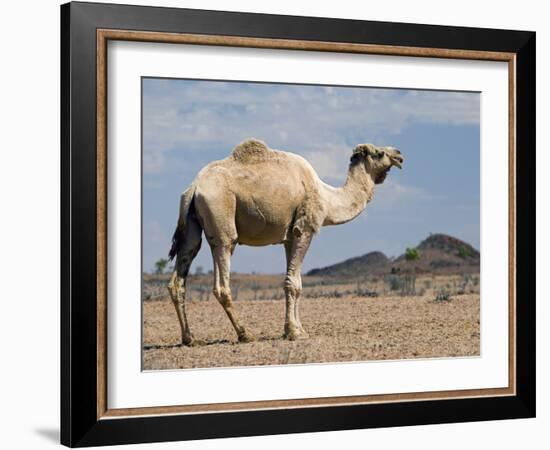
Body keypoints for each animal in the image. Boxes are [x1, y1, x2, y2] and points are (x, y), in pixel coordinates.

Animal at [166, 140, 404, 344]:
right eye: (379, 153)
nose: (399, 155)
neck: (327, 197)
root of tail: (194, 188)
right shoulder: (304, 229)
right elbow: (293, 284)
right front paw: (294, 333)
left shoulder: (289, 237)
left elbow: (294, 282)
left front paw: (297, 329)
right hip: (222, 218)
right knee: (222, 279)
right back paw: (245, 334)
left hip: (192, 224)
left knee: (181, 272)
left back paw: (190, 338)